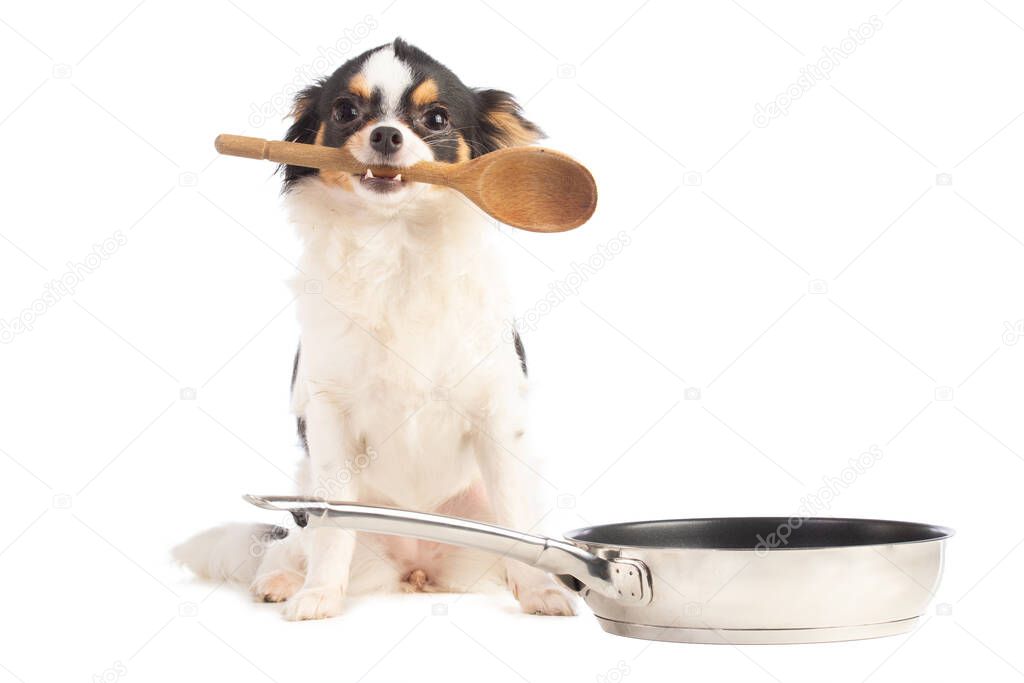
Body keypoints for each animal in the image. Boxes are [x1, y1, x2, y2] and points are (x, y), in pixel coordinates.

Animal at [176, 40, 577, 622]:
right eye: (346, 111)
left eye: (436, 119)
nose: (386, 134)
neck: (396, 244)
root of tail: (416, 566)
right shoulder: (329, 416)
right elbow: (330, 528)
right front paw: (319, 594)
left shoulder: (497, 417)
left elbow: (516, 520)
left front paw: (540, 590)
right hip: (308, 497)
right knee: (286, 544)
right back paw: (280, 581)